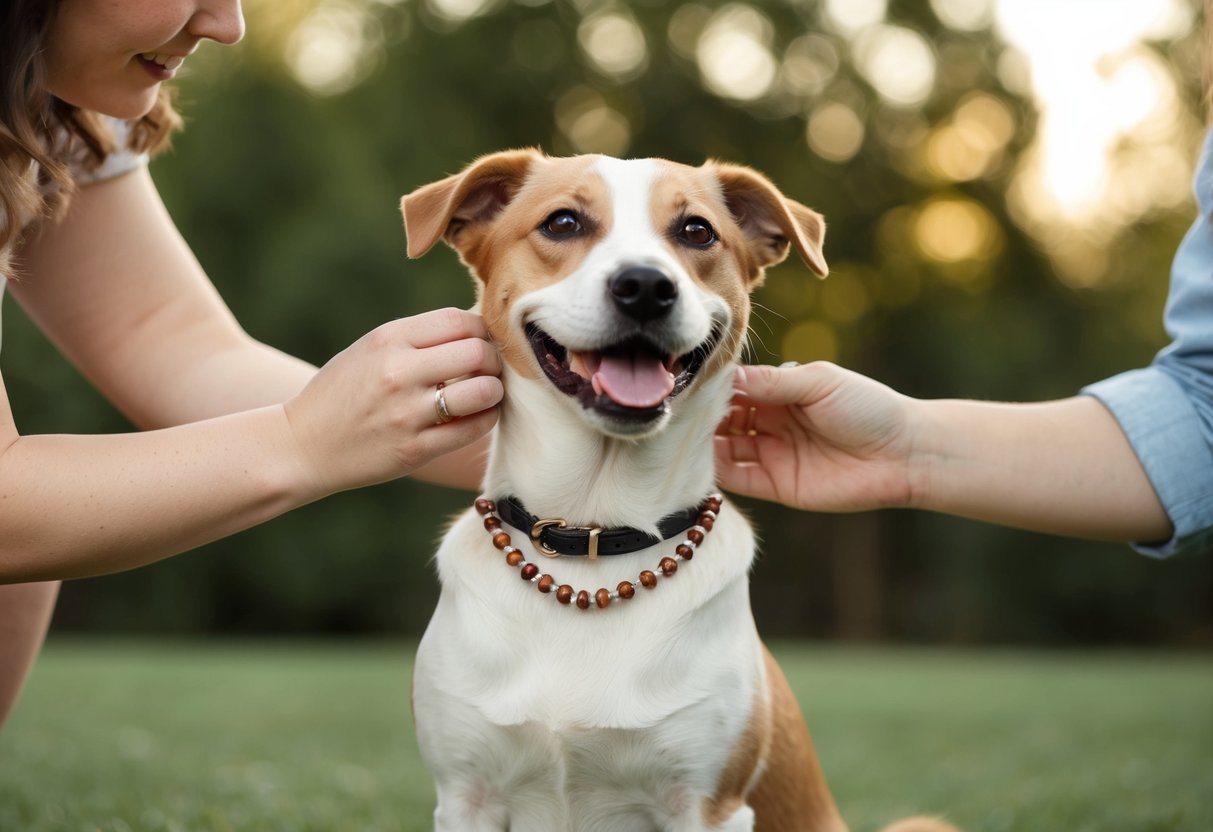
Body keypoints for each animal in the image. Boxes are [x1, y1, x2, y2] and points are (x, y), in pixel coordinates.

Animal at [397, 149, 955, 832]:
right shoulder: (465, 794)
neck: (593, 534)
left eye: (697, 231)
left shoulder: (707, 804)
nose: (644, 286)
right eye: (562, 222)